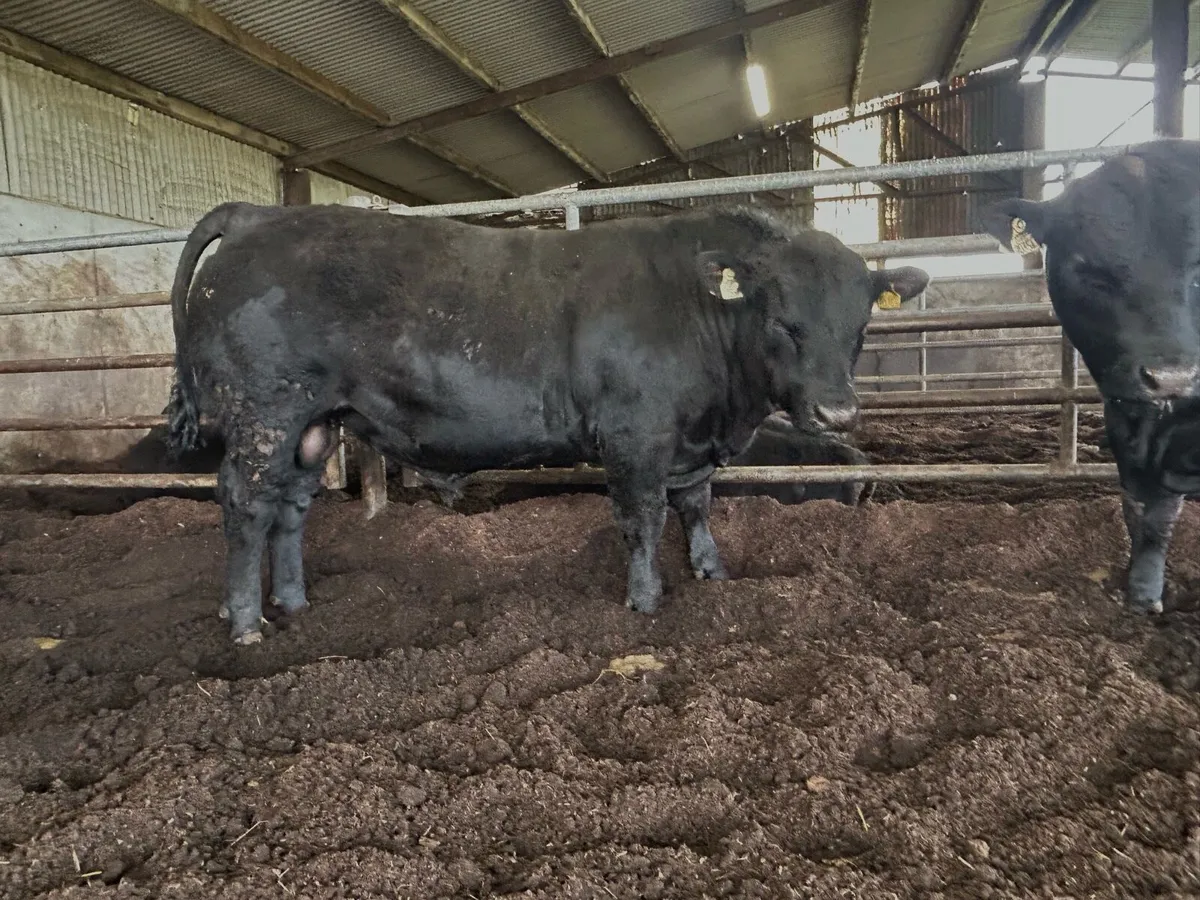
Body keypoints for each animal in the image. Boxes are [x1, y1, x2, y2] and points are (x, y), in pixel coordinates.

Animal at [164, 203, 928, 643]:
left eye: (861, 322)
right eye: (782, 318)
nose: (837, 411)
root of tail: (260, 216)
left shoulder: (687, 443)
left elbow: (696, 505)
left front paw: (711, 572)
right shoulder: (635, 435)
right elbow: (644, 517)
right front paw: (646, 600)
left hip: (314, 424)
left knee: (289, 508)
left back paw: (293, 602)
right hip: (265, 411)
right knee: (246, 504)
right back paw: (247, 622)